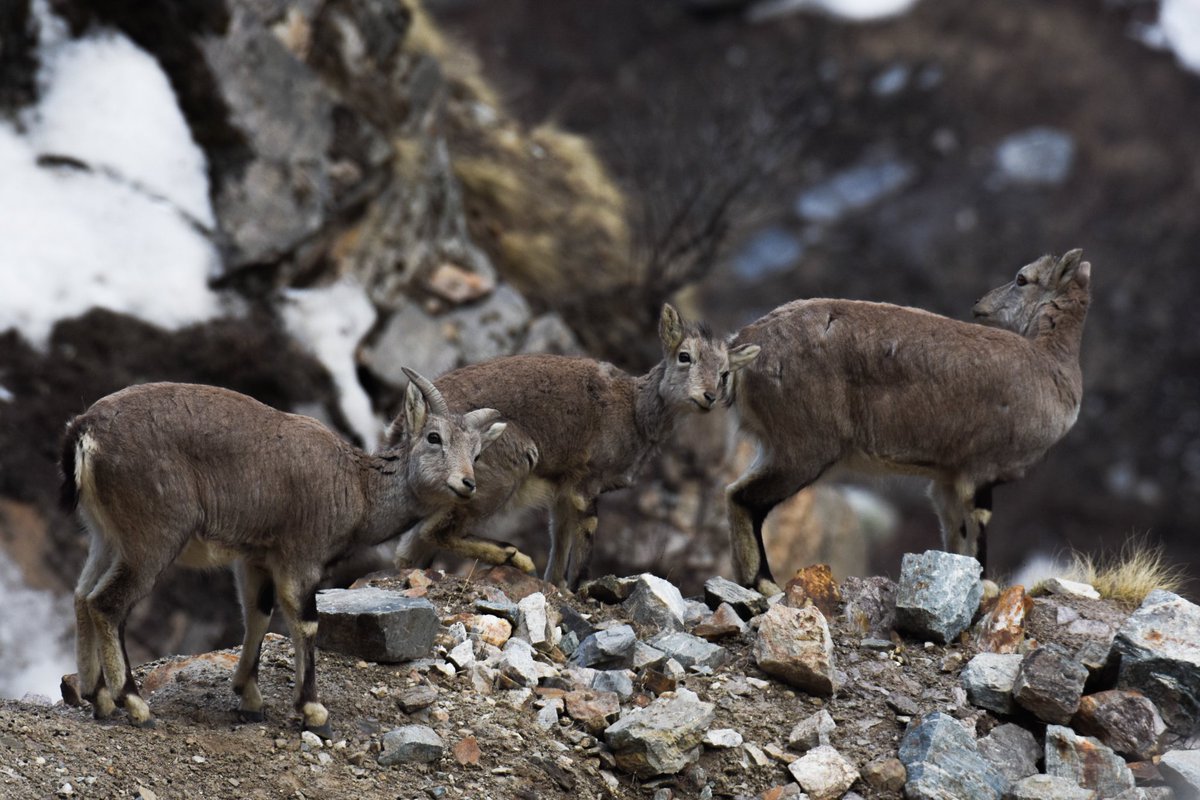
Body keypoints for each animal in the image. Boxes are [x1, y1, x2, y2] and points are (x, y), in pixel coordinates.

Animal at [60, 370, 506, 735]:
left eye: (477, 452)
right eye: (434, 438)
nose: (467, 484)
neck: (358, 488)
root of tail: (85, 429)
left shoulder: (255, 557)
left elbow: (257, 613)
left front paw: (249, 697)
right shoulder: (301, 554)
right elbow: (304, 620)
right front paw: (312, 709)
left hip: (107, 534)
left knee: (82, 595)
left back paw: (98, 697)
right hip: (153, 535)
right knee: (107, 603)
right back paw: (133, 703)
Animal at [389, 303, 761, 587]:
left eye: (725, 373)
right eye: (685, 356)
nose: (709, 397)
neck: (634, 411)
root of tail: (411, 420)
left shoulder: (562, 493)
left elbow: (560, 543)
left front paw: (554, 584)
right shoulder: (587, 485)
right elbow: (583, 543)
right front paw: (578, 587)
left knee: (409, 548)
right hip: (491, 479)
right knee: (434, 532)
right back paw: (515, 557)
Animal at [726, 249, 1091, 594]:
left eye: (1021, 279)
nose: (979, 304)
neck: (1051, 366)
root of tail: (742, 345)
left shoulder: (949, 476)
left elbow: (955, 533)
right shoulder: (983, 469)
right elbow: (979, 522)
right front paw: (986, 587)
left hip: (779, 446)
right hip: (804, 447)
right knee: (743, 498)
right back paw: (763, 582)